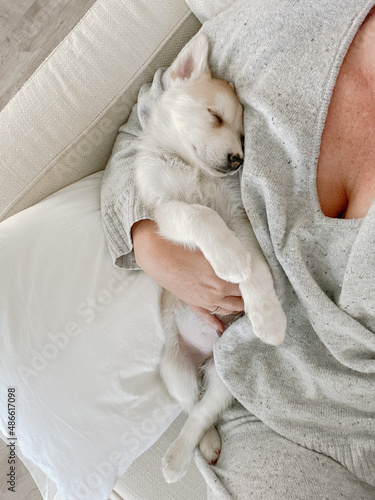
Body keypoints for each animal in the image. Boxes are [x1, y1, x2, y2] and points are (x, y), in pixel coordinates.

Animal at [137, 33, 286, 482]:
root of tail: (204, 358)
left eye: (244, 136)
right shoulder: (165, 212)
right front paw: (229, 259)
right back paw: (188, 453)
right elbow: (199, 216)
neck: (194, 170)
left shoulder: (239, 219)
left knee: (204, 411)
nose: (238, 159)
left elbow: (256, 267)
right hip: (175, 370)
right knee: (192, 408)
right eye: (215, 117)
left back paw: (186, 451)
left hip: (223, 372)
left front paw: (268, 314)